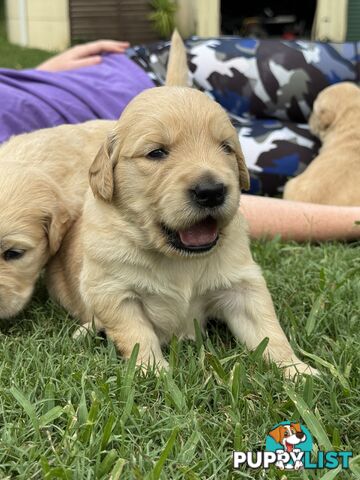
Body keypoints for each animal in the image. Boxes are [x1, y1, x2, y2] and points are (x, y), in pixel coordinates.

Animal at [46, 31, 316, 378]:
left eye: (226, 148)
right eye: (156, 153)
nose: (211, 191)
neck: (178, 260)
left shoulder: (243, 284)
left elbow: (270, 331)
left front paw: (298, 371)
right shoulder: (113, 292)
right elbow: (137, 334)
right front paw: (154, 372)